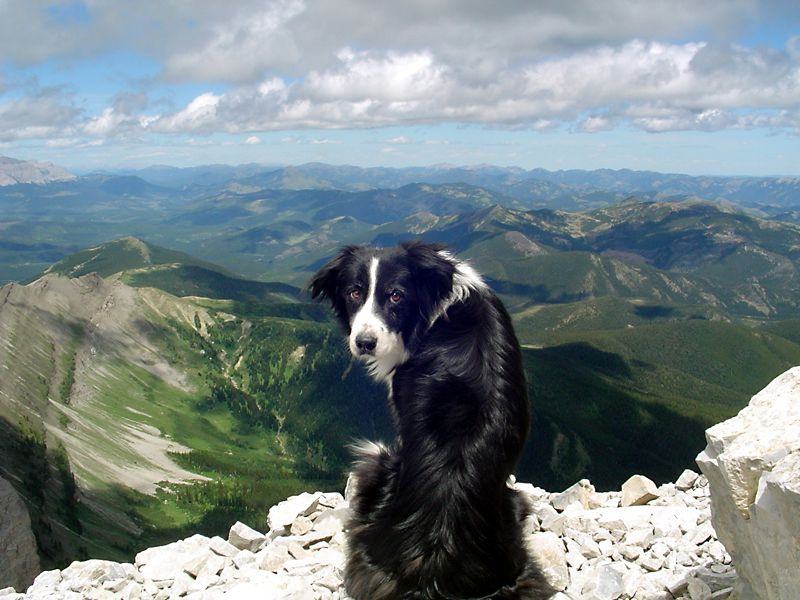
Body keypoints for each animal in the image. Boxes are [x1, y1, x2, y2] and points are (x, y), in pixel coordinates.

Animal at [310, 241, 552, 596]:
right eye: (354, 293)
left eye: (396, 296)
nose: (364, 344)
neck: (436, 305)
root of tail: (431, 573)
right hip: (512, 509)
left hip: (377, 461)